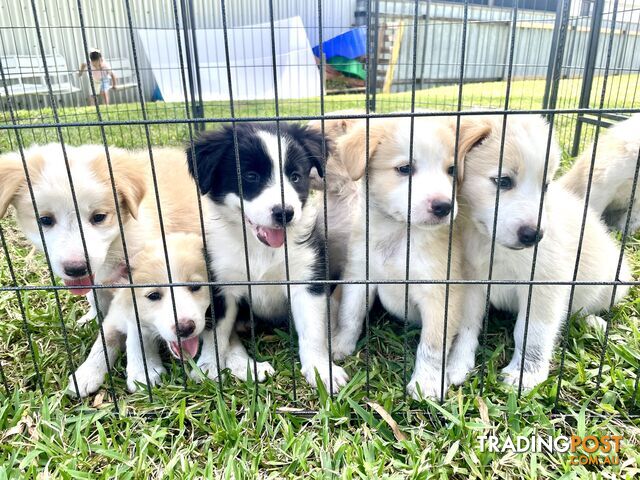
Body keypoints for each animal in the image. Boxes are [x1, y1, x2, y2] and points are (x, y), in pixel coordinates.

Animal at [189, 122, 350, 392]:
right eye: (251, 176)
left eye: (295, 177)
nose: (284, 213)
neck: (260, 250)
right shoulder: (220, 284)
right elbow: (216, 332)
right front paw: (208, 365)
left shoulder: (307, 279)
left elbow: (313, 331)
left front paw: (321, 370)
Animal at [450, 115, 636, 390]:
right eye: (503, 181)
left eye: (545, 186)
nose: (534, 235)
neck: (489, 242)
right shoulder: (472, 282)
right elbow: (467, 326)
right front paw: (455, 364)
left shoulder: (544, 283)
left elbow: (531, 332)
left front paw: (525, 375)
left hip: (614, 283)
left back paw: (593, 322)